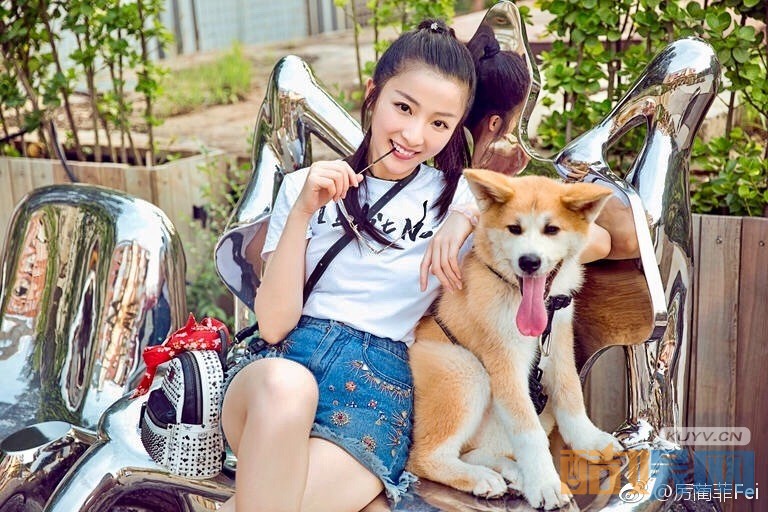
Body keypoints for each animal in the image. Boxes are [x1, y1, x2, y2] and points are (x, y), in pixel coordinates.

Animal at [407, 169, 623, 510]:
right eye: (514, 229)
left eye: (552, 229)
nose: (529, 262)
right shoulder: (505, 360)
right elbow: (527, 431)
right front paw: (546, 484)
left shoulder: (559, 341)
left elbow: (571, 394)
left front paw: (588, 440)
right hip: (466, 370)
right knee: (423, 457)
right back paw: (483, 478)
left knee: (475, 451)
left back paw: (511, 475)